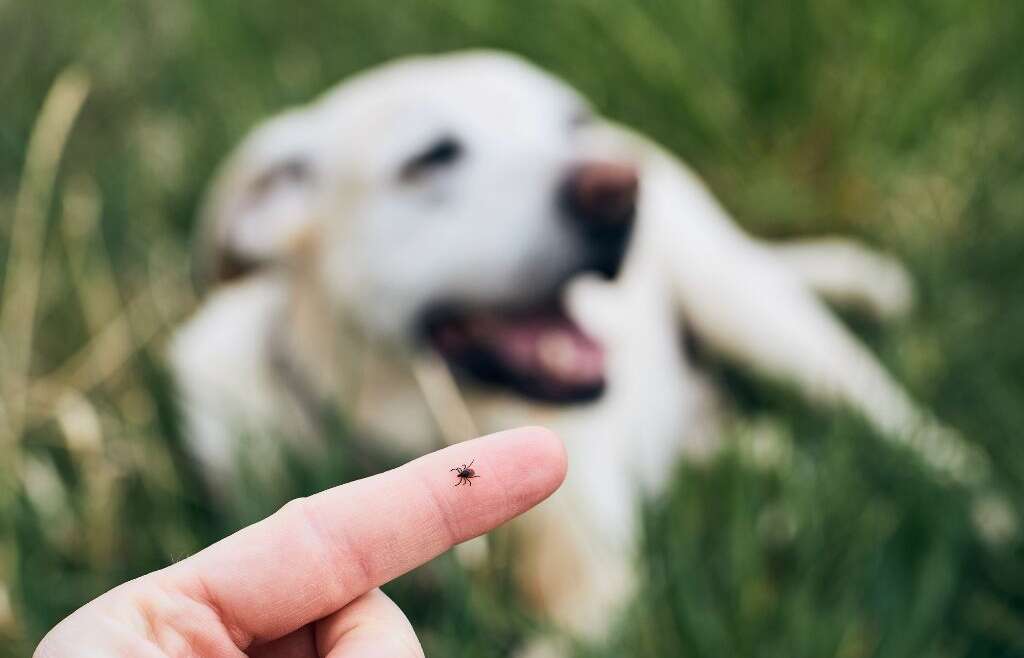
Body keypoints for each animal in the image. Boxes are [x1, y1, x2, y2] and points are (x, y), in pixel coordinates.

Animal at [169, 50, 974, 642]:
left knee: (911, 432)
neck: (412, 424)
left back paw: (978, 512)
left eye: (571, 122)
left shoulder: (595, 591)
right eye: (431, 158)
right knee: (752, 442)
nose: (617, 190)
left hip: (757, 315)